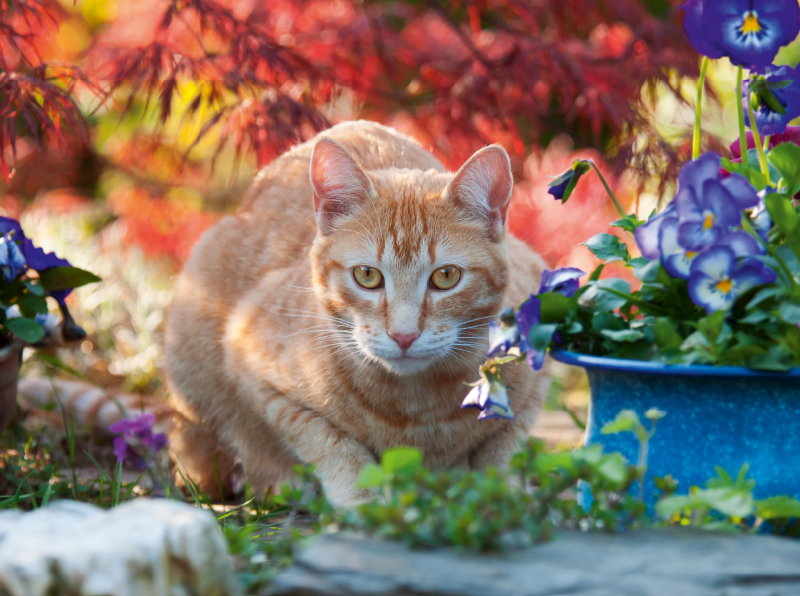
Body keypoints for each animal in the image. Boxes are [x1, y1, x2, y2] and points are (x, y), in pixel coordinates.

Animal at [162, 123, 552, 506]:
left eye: (446, 276)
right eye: (367, 275)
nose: (404, 335)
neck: (414, 410)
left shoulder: (536, 376)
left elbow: (504, 446)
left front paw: (505, 493)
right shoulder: (250, 363)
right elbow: (328, 442)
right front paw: (362, 498)